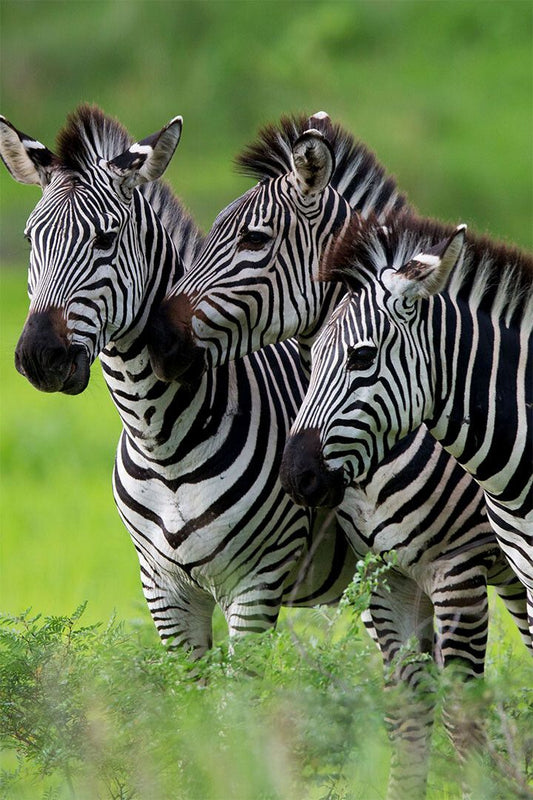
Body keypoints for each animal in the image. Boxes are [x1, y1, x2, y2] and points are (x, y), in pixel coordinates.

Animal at [0, 105, 359, 662]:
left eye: (106, 240)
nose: (39, 356)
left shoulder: (256, 584)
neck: (159, 439)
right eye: (29, 240)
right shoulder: (163, 590)